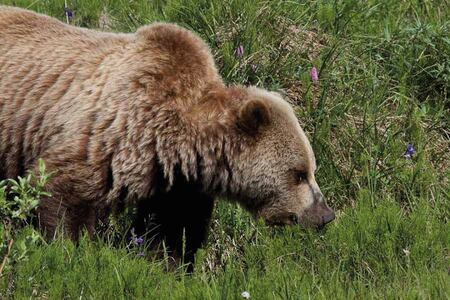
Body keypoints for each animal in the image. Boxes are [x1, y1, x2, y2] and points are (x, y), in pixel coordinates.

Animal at [0, 5, 334, 264]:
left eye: (311, 169)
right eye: (299, 174)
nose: (325, 215)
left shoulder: (177, 183)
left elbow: (172, 231)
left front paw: (168, 265)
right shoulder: (108, 135)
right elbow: (63, 194)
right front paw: (70, 250)